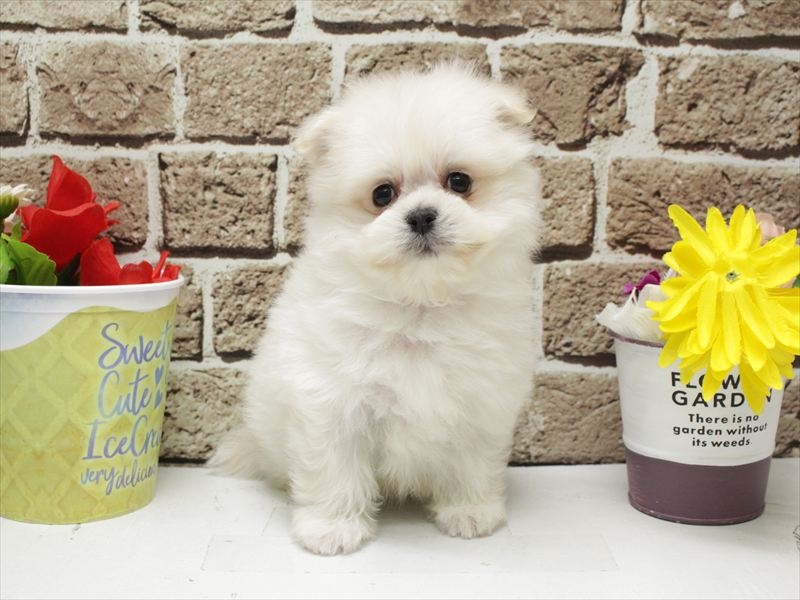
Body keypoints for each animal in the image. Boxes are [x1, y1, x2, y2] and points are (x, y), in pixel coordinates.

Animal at [210, 63, 542, 555]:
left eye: (459, 182)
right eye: (382, 194)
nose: (421, 215)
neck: (420, 304)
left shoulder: (481, 402)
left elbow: (472, 462)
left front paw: (470, 511)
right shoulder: (331, 400)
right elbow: (334, 470)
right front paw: (331, 528)